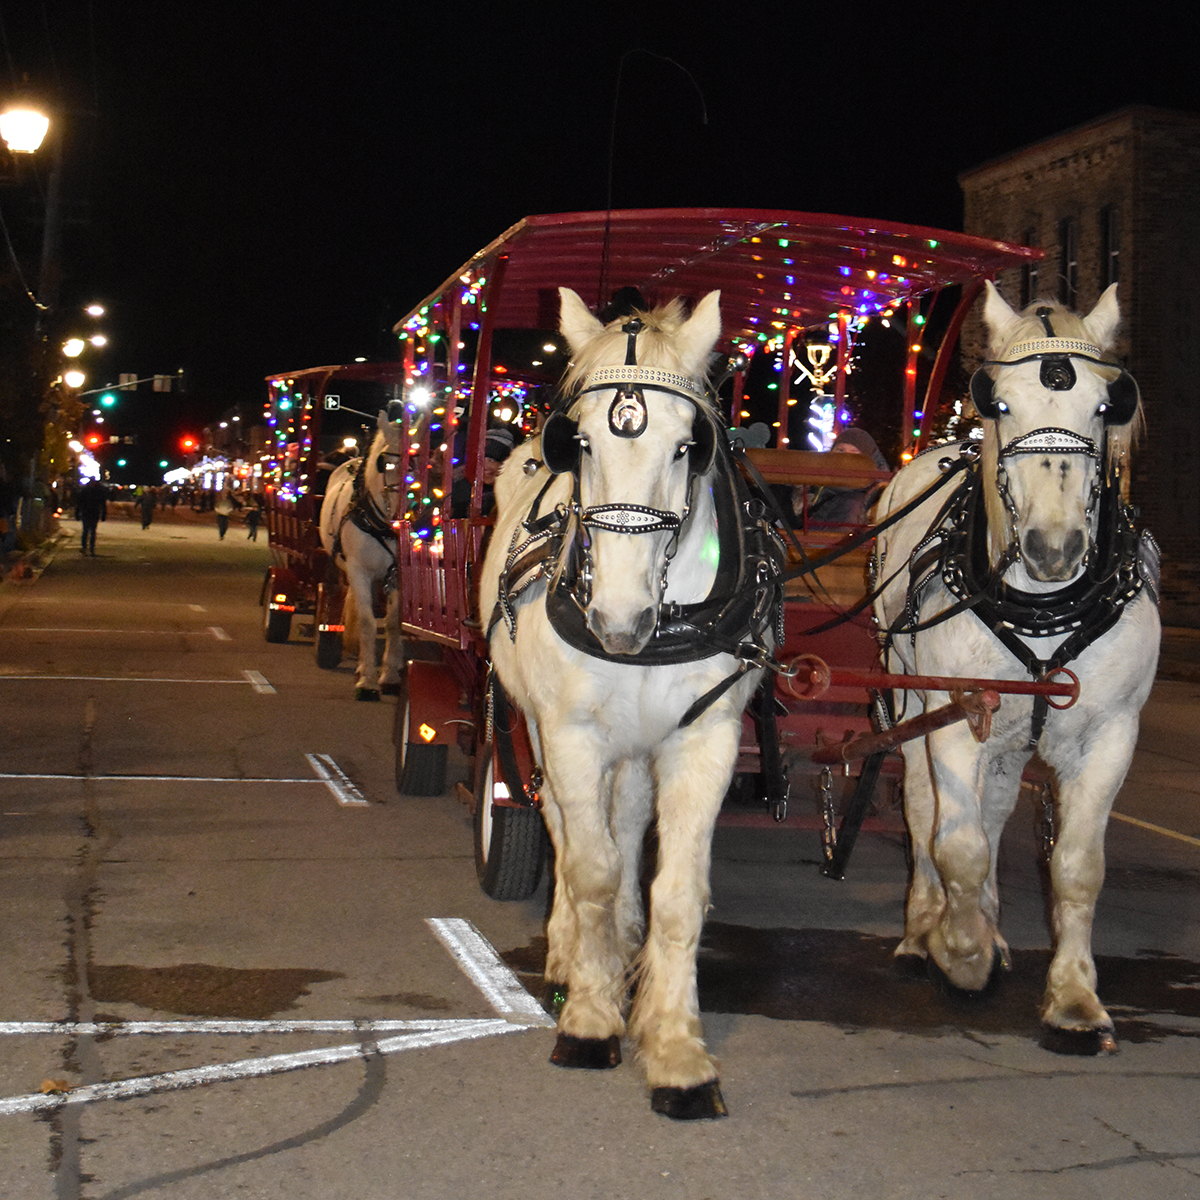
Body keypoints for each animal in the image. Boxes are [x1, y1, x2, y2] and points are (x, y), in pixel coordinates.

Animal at [316, 408, 405, 700]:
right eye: (383, 462)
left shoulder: (399, 575)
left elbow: (394, 623)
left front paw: (389, 677)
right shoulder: (358, 570)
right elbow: (367, 622)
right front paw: (367, 681)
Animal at [480, 288, 777, 1113]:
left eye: (687, 448)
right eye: (578, 443)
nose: (617, 620)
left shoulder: (703, 739)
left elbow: (676, 889)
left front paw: (675, 1047)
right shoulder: (573, 733)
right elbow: (590, 868)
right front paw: (589, 1017)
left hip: (640, 747)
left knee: (630, 819)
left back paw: (622, 939)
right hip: (539, 727)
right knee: (561, 823)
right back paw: (571, 951)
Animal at [873, 280, 1161, 1051]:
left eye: (1107, 404)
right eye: (999, 403)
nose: (1054, 548)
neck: (1044, 607)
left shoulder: (1112, 733)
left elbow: (1077, 866)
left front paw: (1075, 1000)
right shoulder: (954, 714)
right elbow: (959, 845)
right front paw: (960, 951)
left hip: (1007, 736)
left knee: (997, 807)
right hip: (912, 701)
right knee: (925, 809)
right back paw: (924, 930)